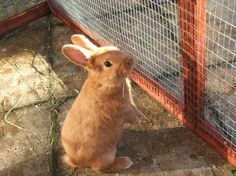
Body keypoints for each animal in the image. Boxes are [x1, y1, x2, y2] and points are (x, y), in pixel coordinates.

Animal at [60, 34, 144, 173]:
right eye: (107, 64)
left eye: (116, 48)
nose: (130, 60)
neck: (103, 83)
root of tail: (77, 161)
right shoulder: (125, 108)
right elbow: (132, 115)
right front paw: (140, 120)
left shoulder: (130, 103)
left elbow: (135, 108)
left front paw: (141, 116)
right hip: (108, 154)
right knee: (100, 168)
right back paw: (125, 162)